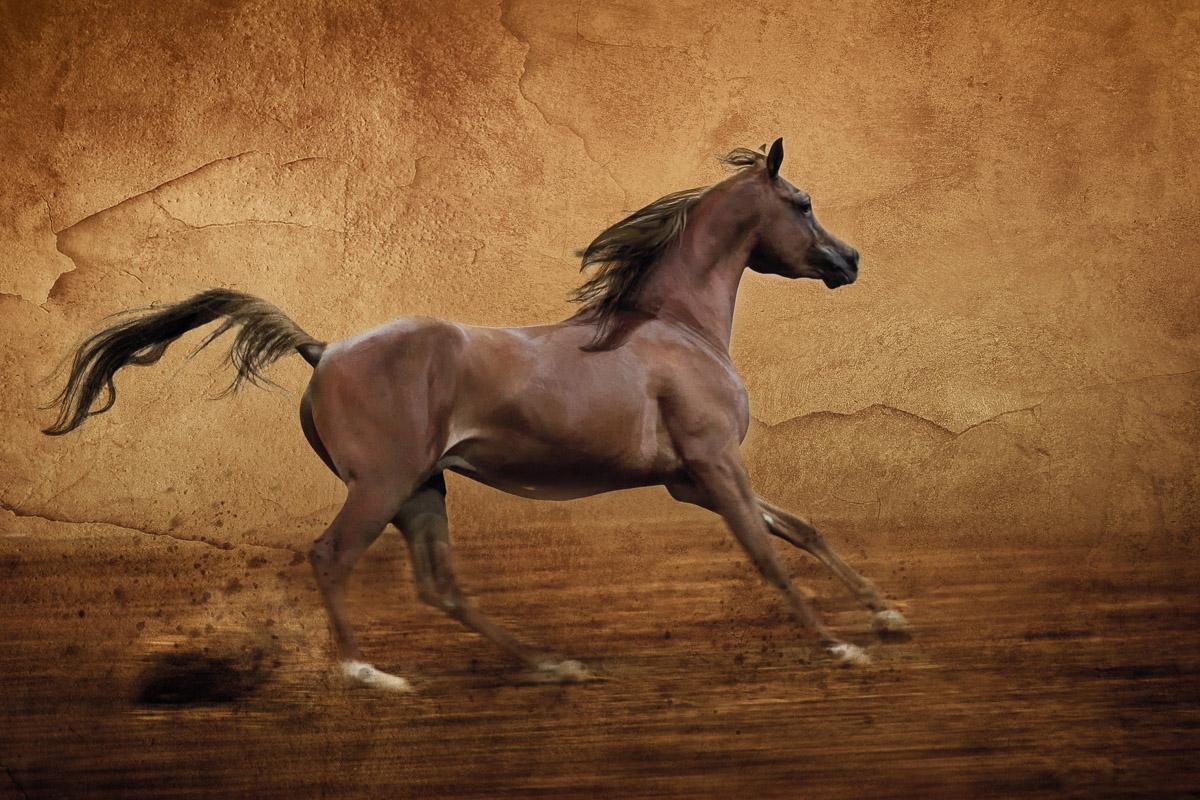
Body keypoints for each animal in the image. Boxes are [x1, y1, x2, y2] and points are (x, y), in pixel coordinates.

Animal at [43, 138, 907, 691]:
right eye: (801, 202)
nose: (851, 260)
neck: (673, 327)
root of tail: (323, 349)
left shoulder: (690, 478)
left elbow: (801, 529)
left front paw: (889, 616)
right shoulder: (713, 463)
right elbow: (765, 552)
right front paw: (838, 647)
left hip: (424, 488)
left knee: (439, 586)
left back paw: (550, 663)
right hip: (384, 485)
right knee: (332, 557)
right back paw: (370, 673)